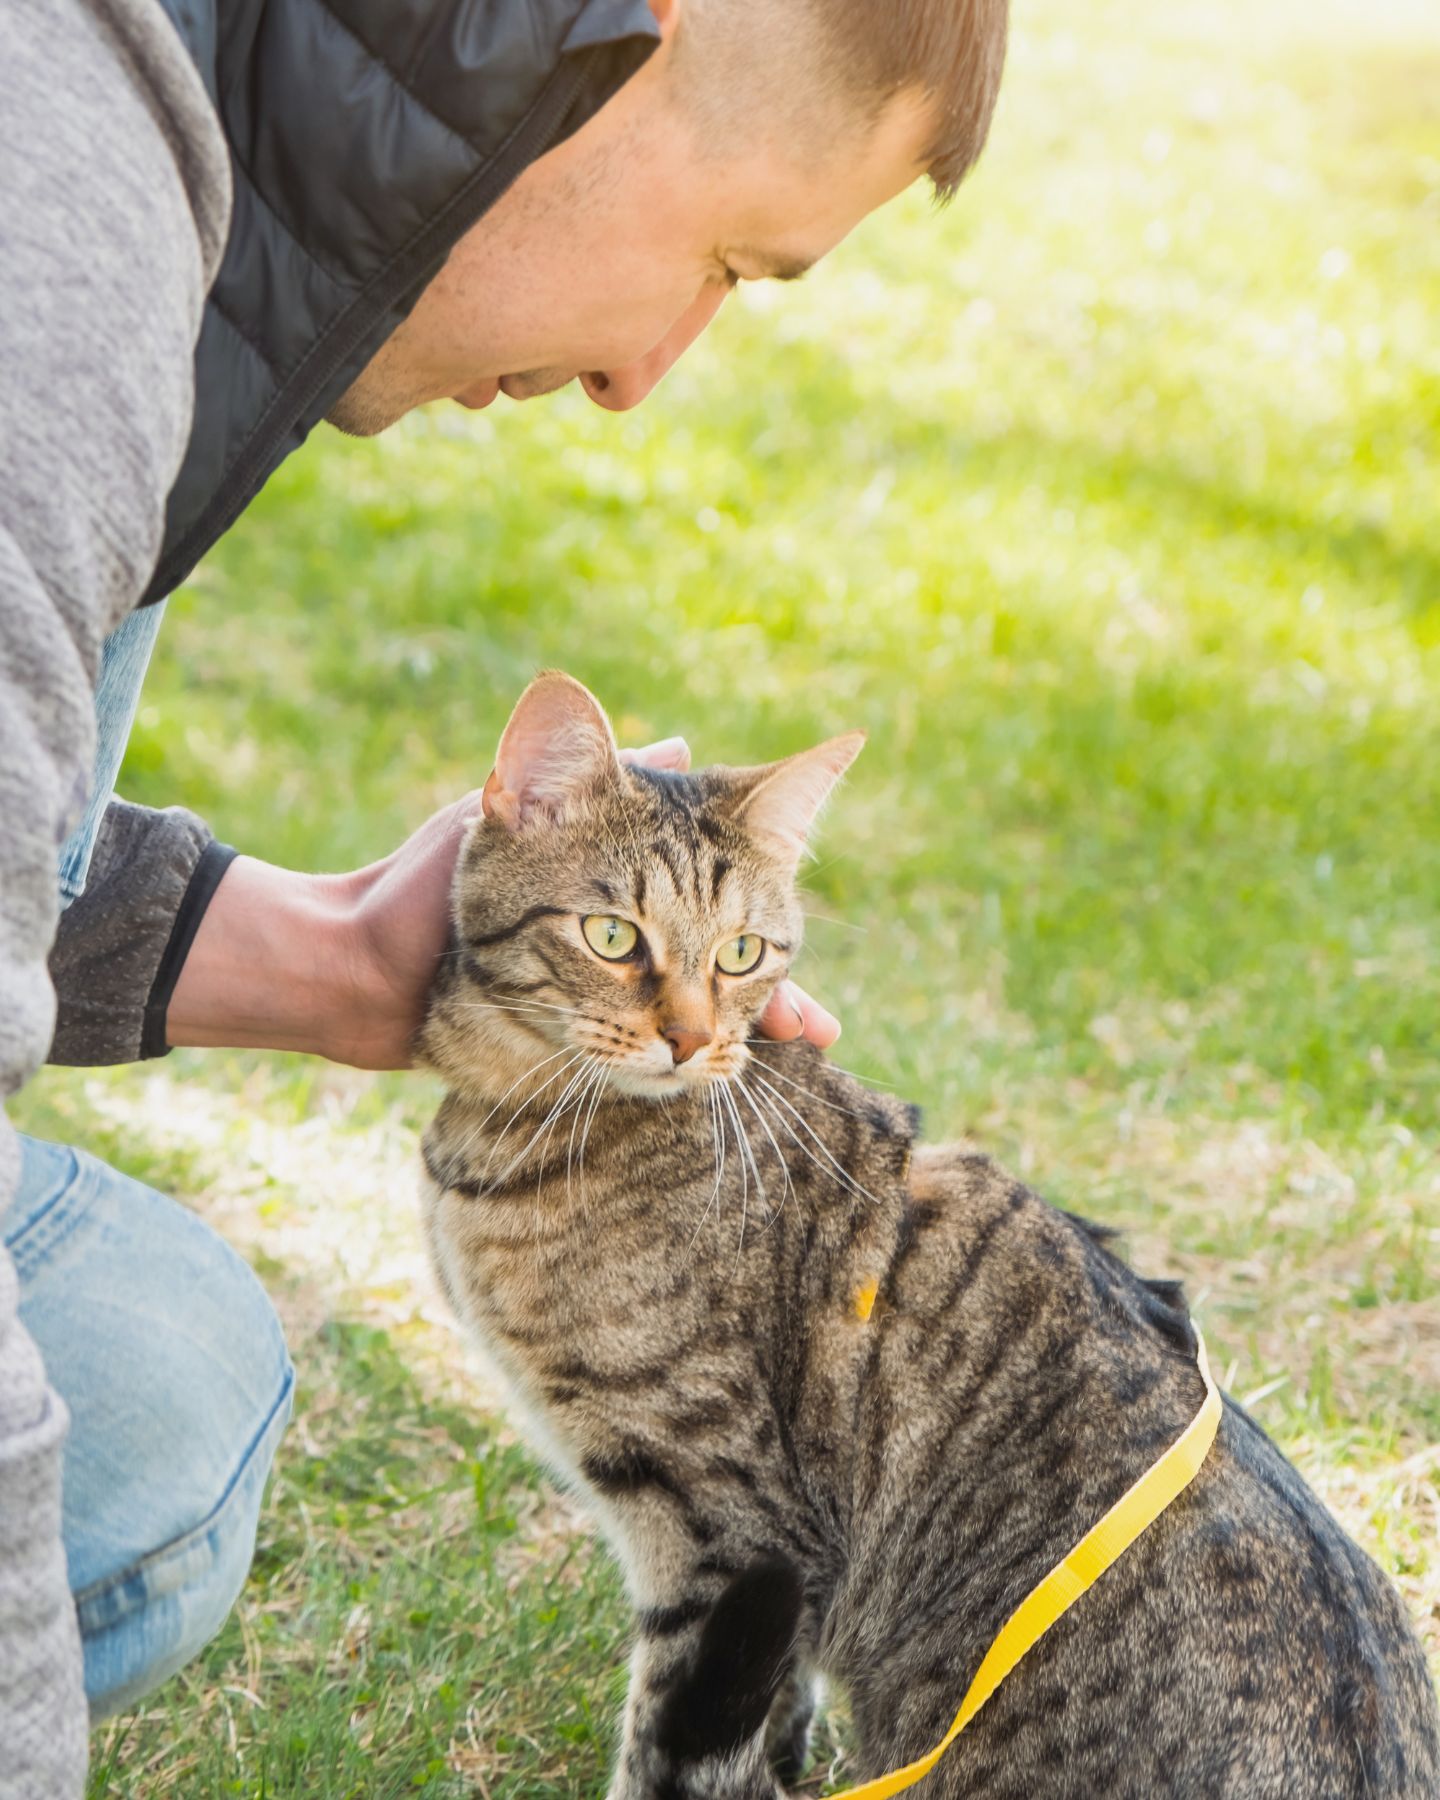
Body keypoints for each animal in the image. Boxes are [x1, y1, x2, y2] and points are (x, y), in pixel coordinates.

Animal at [415, 676, 1440, 1800]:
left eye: (740, 955)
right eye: (611, 936)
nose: (690, 1039)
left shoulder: (731, 1533)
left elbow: (669, 1750)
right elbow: (773, 1718)